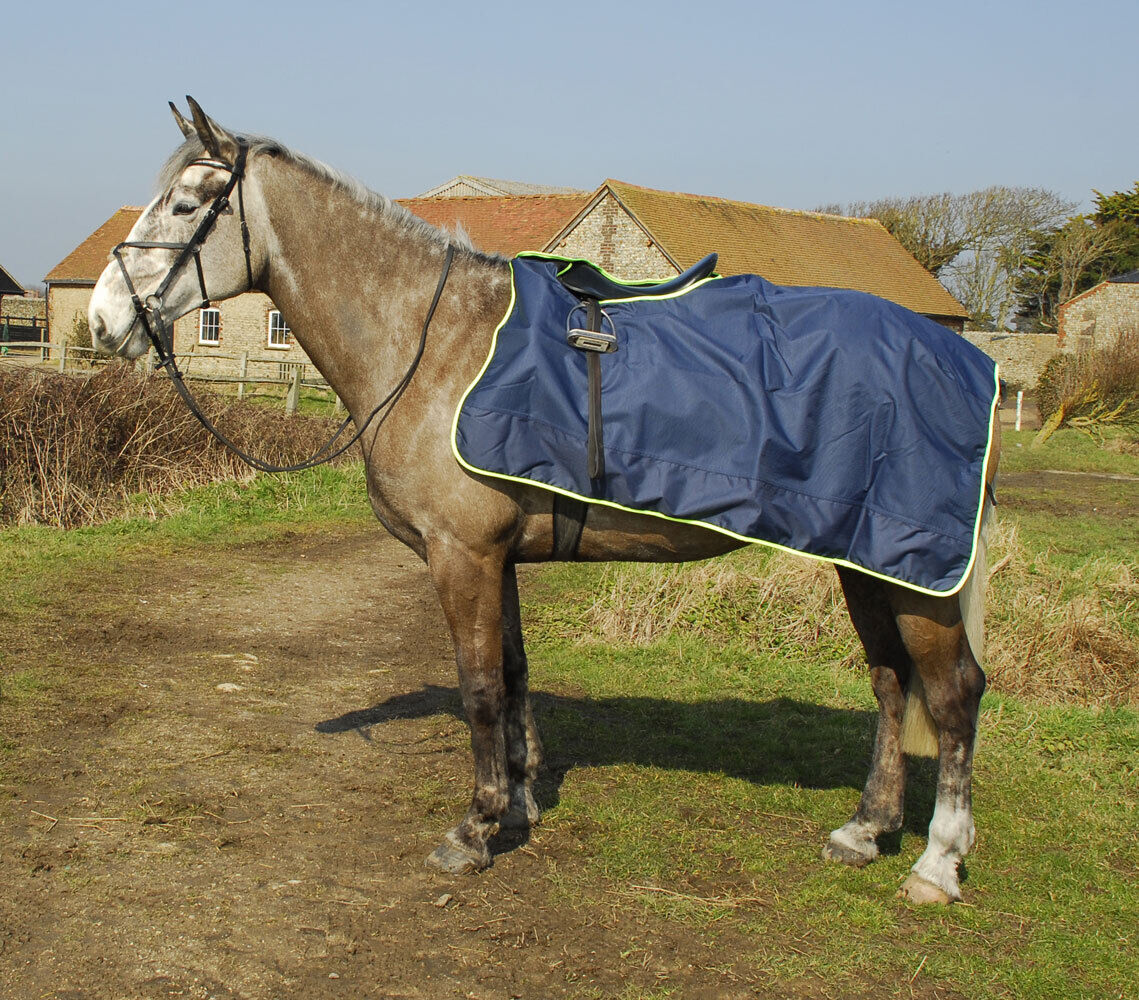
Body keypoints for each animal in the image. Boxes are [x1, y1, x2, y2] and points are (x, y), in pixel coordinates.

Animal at [88, 98, 1000, 905]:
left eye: (186, 204)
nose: (102, 322)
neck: (432, 343)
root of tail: (963, 360)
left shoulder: (461, 554)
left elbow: (480, 687)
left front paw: (475, 829)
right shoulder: (497, 557)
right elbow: (515, 674)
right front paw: (521, 805)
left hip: (914, 576)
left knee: (953, 695)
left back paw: (935, 863)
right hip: (866, 563)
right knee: (890, 683)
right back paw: (866, 830)